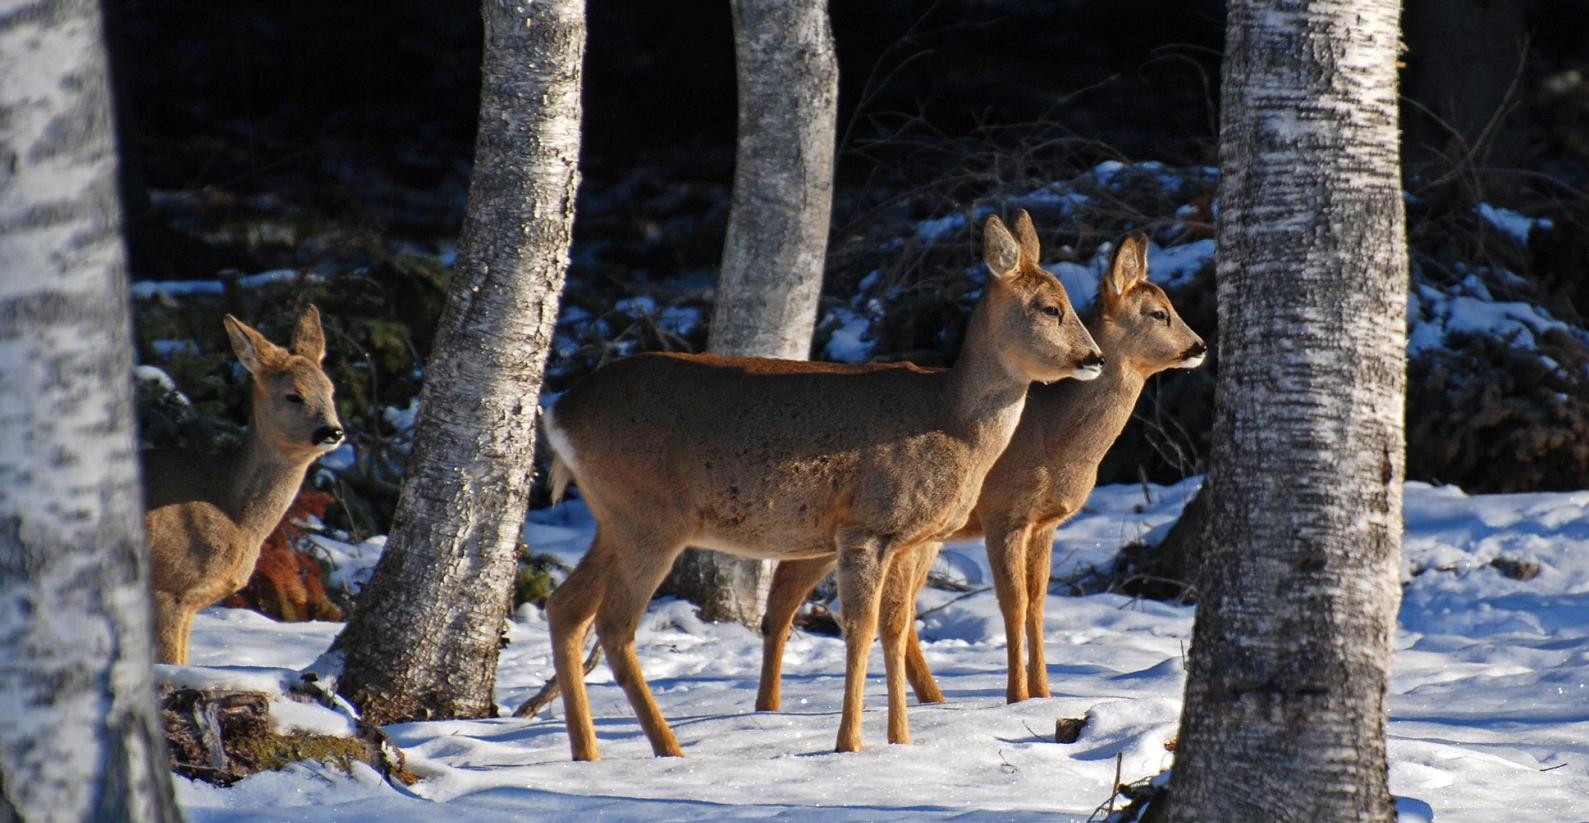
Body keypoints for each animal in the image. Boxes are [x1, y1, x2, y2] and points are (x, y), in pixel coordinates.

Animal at [546, 211, 1105, 762]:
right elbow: (859, 630)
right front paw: (850, 743)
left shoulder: (910, 540)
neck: (953, 420)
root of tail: (558, 413)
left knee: (566, 607)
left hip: (614, 517)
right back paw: (668, 748)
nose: (1095, 358)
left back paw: (588, 751)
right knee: (614, 623)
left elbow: (896, 629)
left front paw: (901, 741)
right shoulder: (867, 526)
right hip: (650, 518)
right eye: (1050, 308)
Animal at [756, 231, 1201, 708]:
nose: (1201, 346)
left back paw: (931, 699)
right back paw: (773, 708)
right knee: (785, 601)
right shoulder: (1002, 513)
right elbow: (1014, 602)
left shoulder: (1044, 523)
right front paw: (1018, 697)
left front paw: (1044, 693)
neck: (1055, 438)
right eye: (1159, 312)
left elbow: (1039, 602)